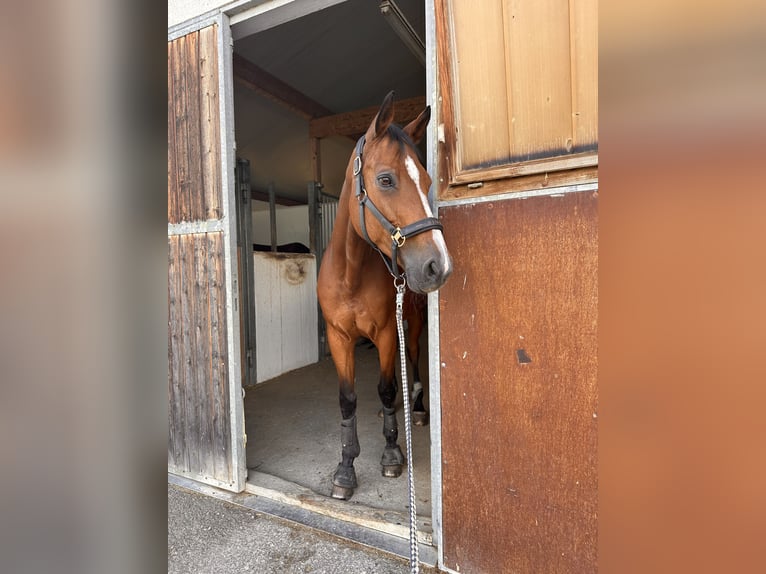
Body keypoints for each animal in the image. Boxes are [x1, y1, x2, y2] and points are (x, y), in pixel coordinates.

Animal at [317, 91, 453, 500]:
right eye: (386, 179)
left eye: (427, 180)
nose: (438, 265)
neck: (350, 275)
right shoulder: (339, 338)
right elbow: (347, 400)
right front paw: (345, 468)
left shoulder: (387, 334)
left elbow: (387, 387)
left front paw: (392, 453)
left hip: (413, 321)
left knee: (413, 359)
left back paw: (418, 408)